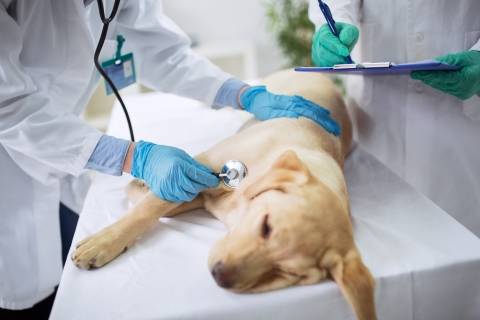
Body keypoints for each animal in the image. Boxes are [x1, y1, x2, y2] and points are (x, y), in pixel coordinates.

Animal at [73, 70, 376, 320]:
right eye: (266, 226)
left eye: (290, 274)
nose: (219, 276)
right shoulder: (200, 166)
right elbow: (147, 209)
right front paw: (104, 242)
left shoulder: (195, 190)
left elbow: (154, 200)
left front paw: (141, 188)